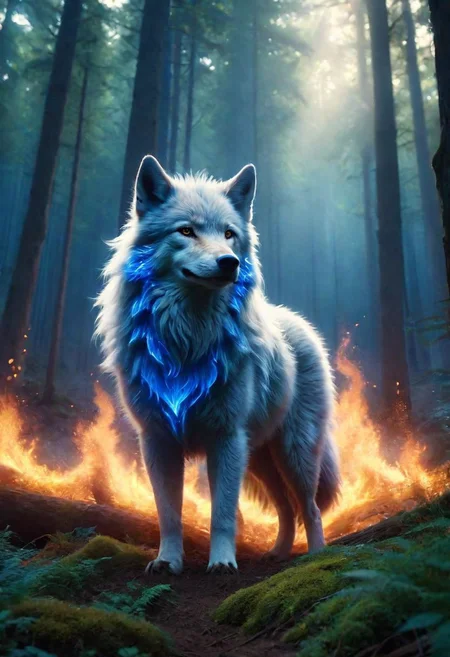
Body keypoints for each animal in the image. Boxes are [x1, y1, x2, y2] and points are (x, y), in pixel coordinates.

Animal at [95, 155, 340, 574]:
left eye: (228, 234)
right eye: (186, 231)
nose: (230, 262)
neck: (187, 338)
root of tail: (299, 323)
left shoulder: (225, 438)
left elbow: (223, 514)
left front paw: (222, 562)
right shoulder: (157, 440)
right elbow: (169, 513)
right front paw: (168, 561)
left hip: (294, 453)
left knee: (309, 508)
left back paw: (315, 556)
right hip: (259, 459)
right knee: (286, 508)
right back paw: (278, 553)